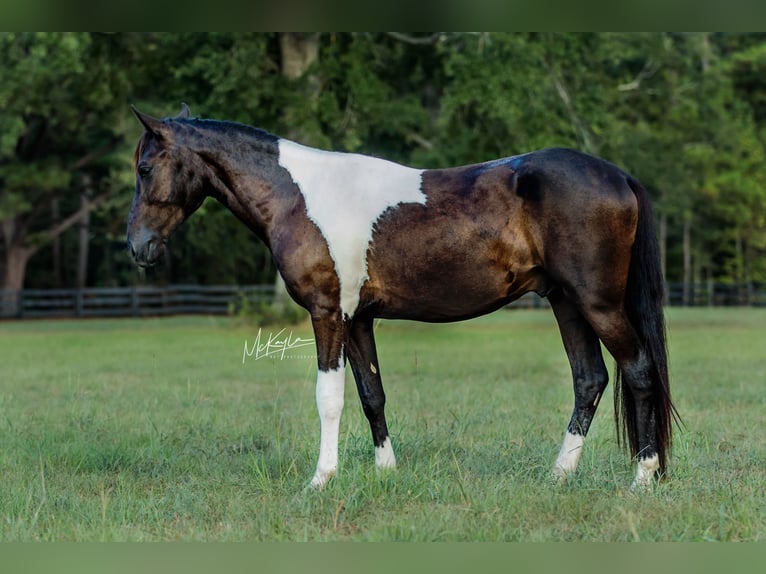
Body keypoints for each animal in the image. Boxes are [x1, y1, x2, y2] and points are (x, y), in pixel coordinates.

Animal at [129, 103, 680, 490]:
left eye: (145, 169)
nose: (137, 247)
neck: (300, 198)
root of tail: (618, 175)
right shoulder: (357, 319)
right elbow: (372, 394)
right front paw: (385, 473)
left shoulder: (328, 313)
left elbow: (329, 397)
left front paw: (320, 480)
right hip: (565, 302)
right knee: (590, 380)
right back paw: (558, 476)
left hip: (597, 305)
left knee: (639, 371)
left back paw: (642, 478)